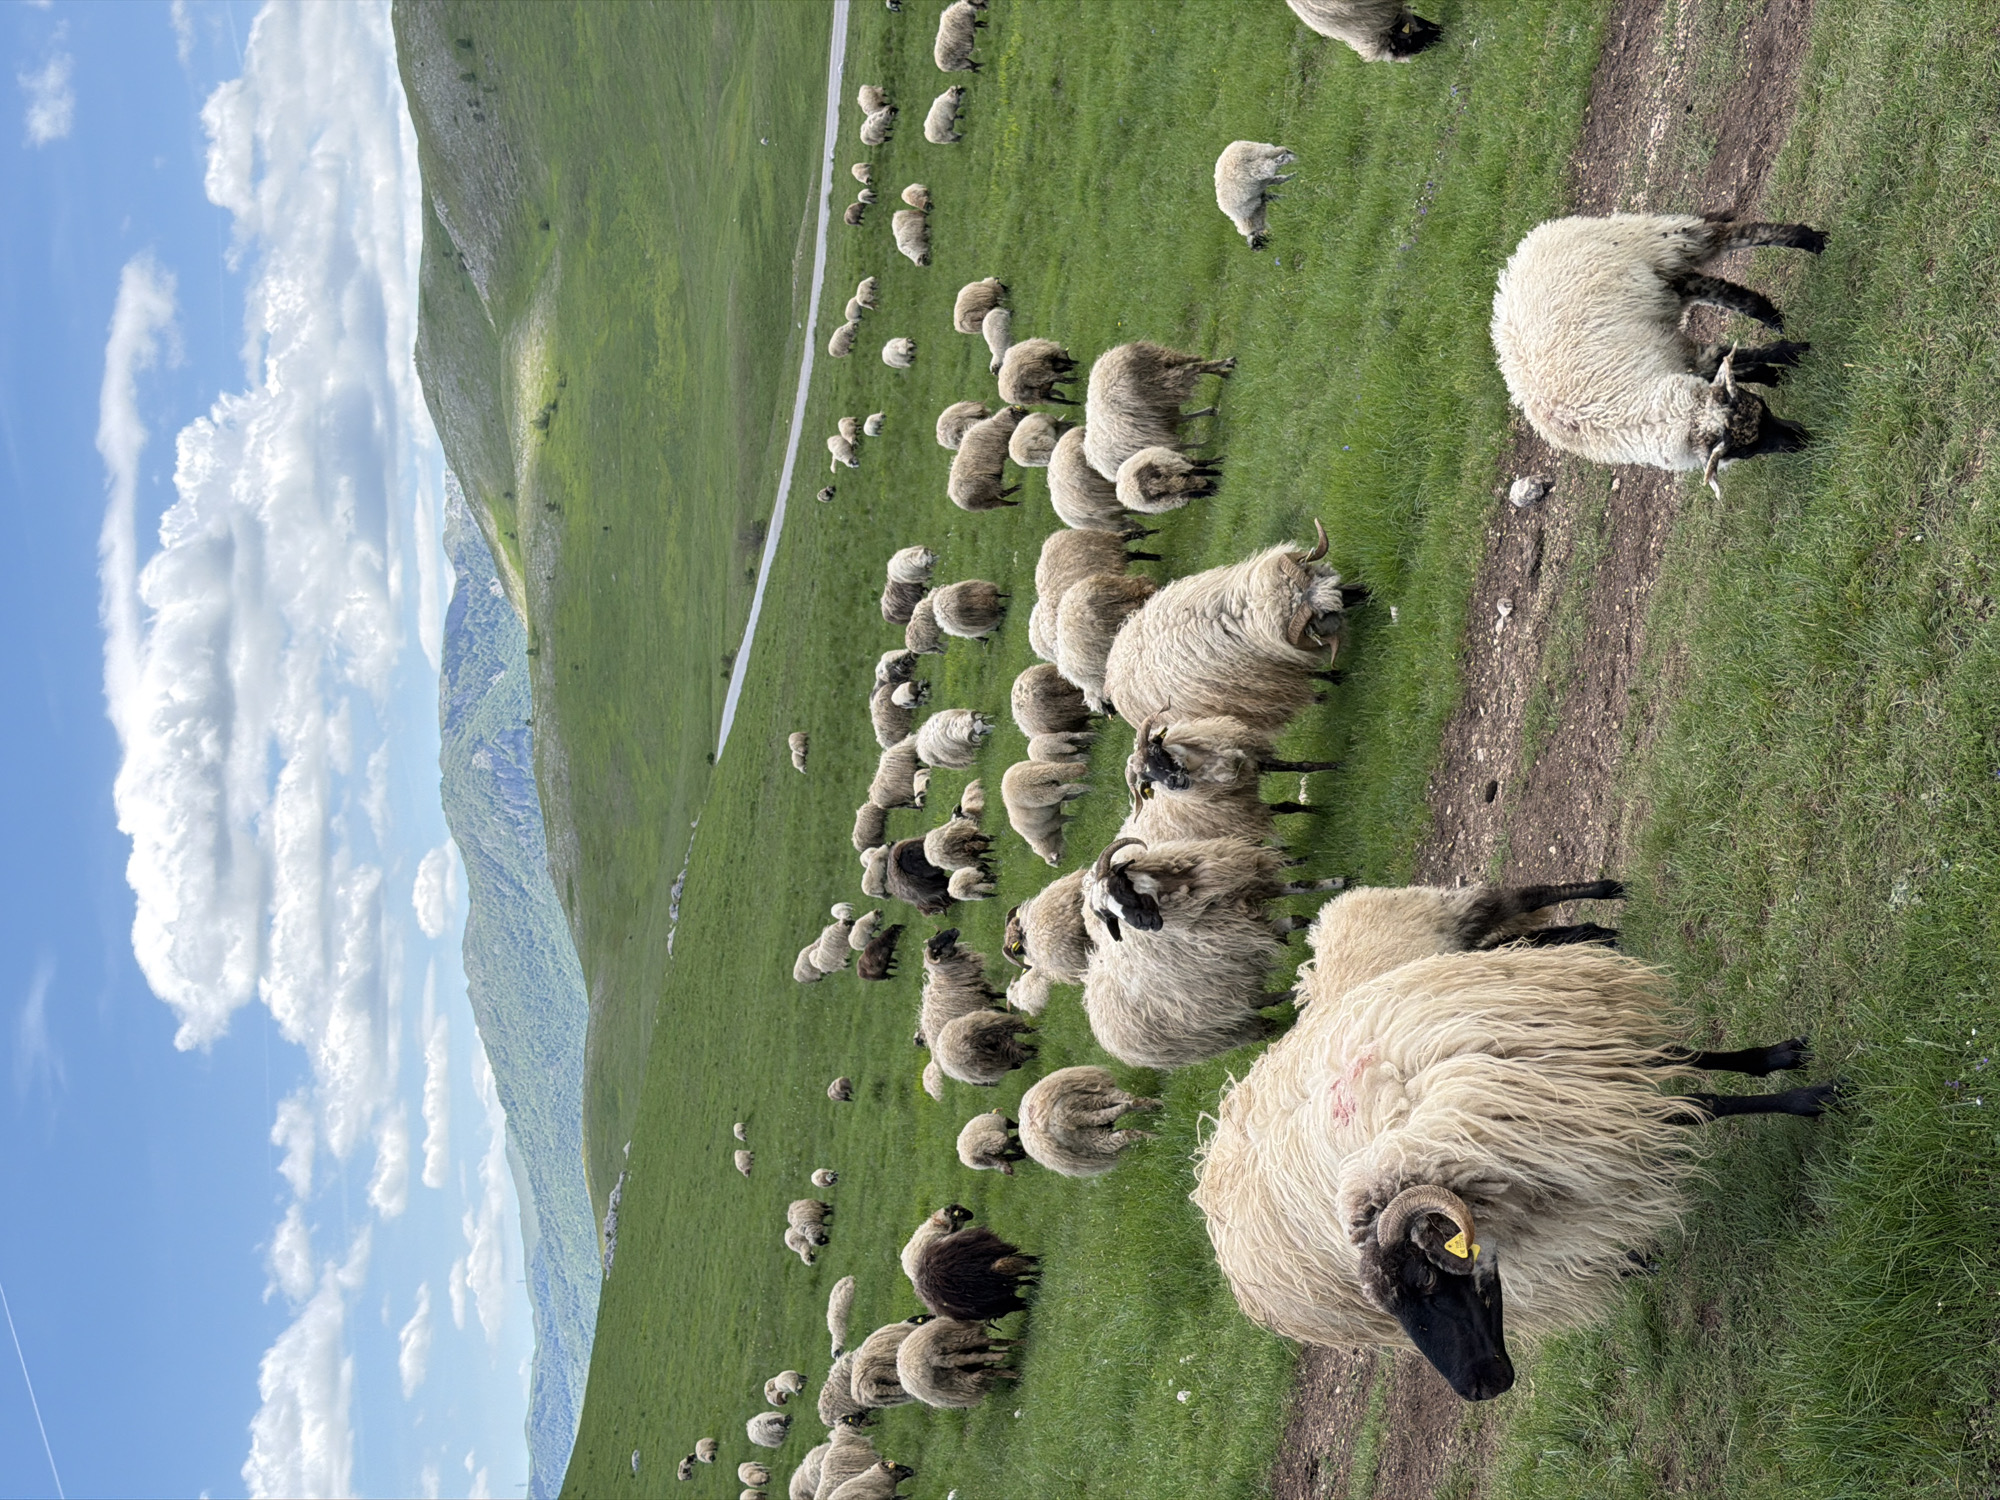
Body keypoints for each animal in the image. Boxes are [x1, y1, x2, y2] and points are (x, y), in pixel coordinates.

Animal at [1102, 522, 1361, 732]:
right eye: (1321, 616)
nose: (1361, 595)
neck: (1239, 617)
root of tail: (1110, 676)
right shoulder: (1264, 676)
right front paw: (1331, 684)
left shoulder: (1278, 662)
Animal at [1194, 933, 1839, 1402]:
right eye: (1402, 1306)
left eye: (1426, 1282)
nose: (1476, 1391)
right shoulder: (1566, 1118)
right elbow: (1700, 1106)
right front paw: (1808, 1099)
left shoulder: (1578, 1062)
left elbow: (1688, 1065)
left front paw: (1782, 1065)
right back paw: (1631, 1260)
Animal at [1490, 214, 1823, 489]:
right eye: (1748, 450)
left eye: (1764, 410)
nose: (1802, 439)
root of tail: (1526, 246)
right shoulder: (1673, 355)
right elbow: (1722, 363)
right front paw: (1775, 370)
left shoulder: (1674, 352)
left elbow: (1722, 359)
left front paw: (1791, 354)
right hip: (1653, 286)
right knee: (1704, 286)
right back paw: (1768, 314)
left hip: (1657, 240)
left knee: (1726, 236)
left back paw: (1810, 241)